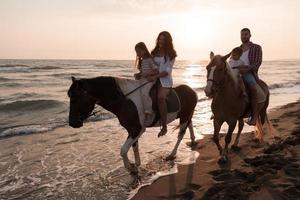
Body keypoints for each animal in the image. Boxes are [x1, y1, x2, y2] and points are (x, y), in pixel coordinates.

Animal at [68, 76, 199, 173]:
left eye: (75, 99)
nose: (72, 123)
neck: (123, 100)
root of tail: (192, 91)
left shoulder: (138, 129)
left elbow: (123, 150)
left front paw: (129, 167)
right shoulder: (131, 130)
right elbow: (134, 146)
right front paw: (136, 164)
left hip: (184, 116)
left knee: (181, 134)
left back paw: (172, 154)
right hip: (186, 115)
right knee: (190, 124)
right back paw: (193, 140)